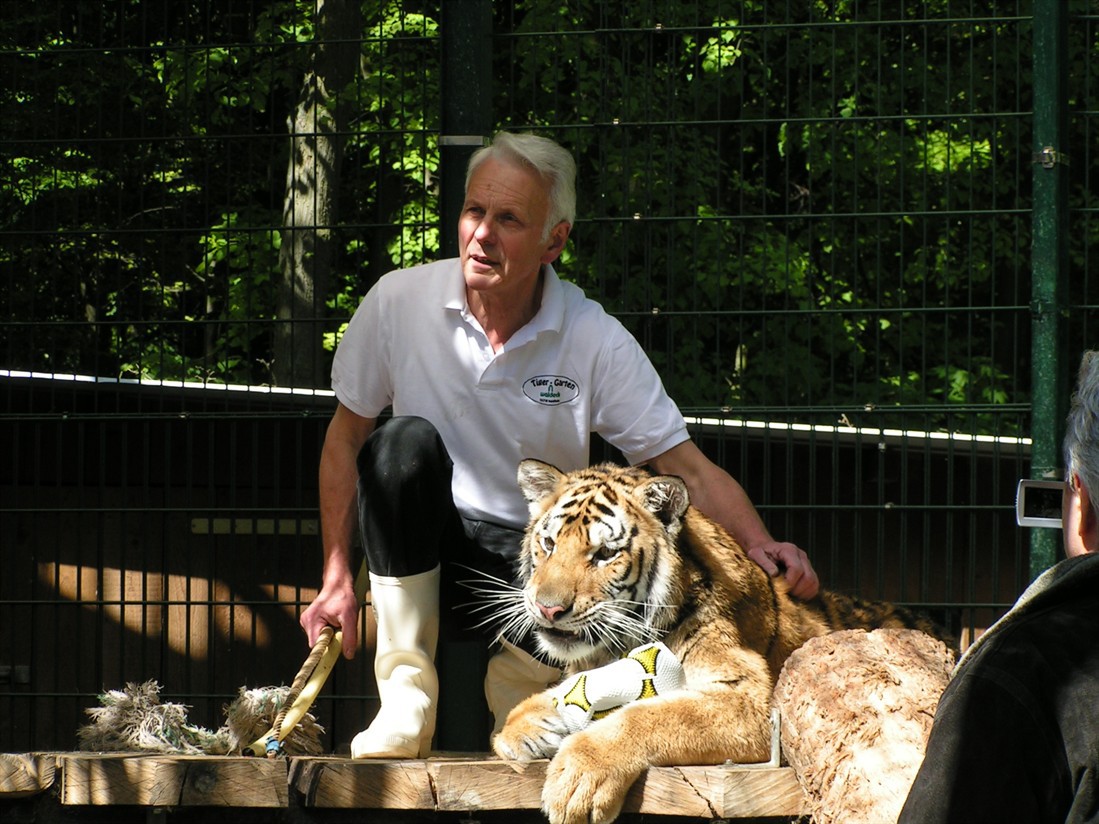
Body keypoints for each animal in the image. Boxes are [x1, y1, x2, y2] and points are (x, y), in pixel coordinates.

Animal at [489, 459, 954, 824]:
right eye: (549, 544)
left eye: (605, 554)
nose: (548, 608)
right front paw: (523, 727)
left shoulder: (753, 702)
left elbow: (649, 716)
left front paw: (578, 779)